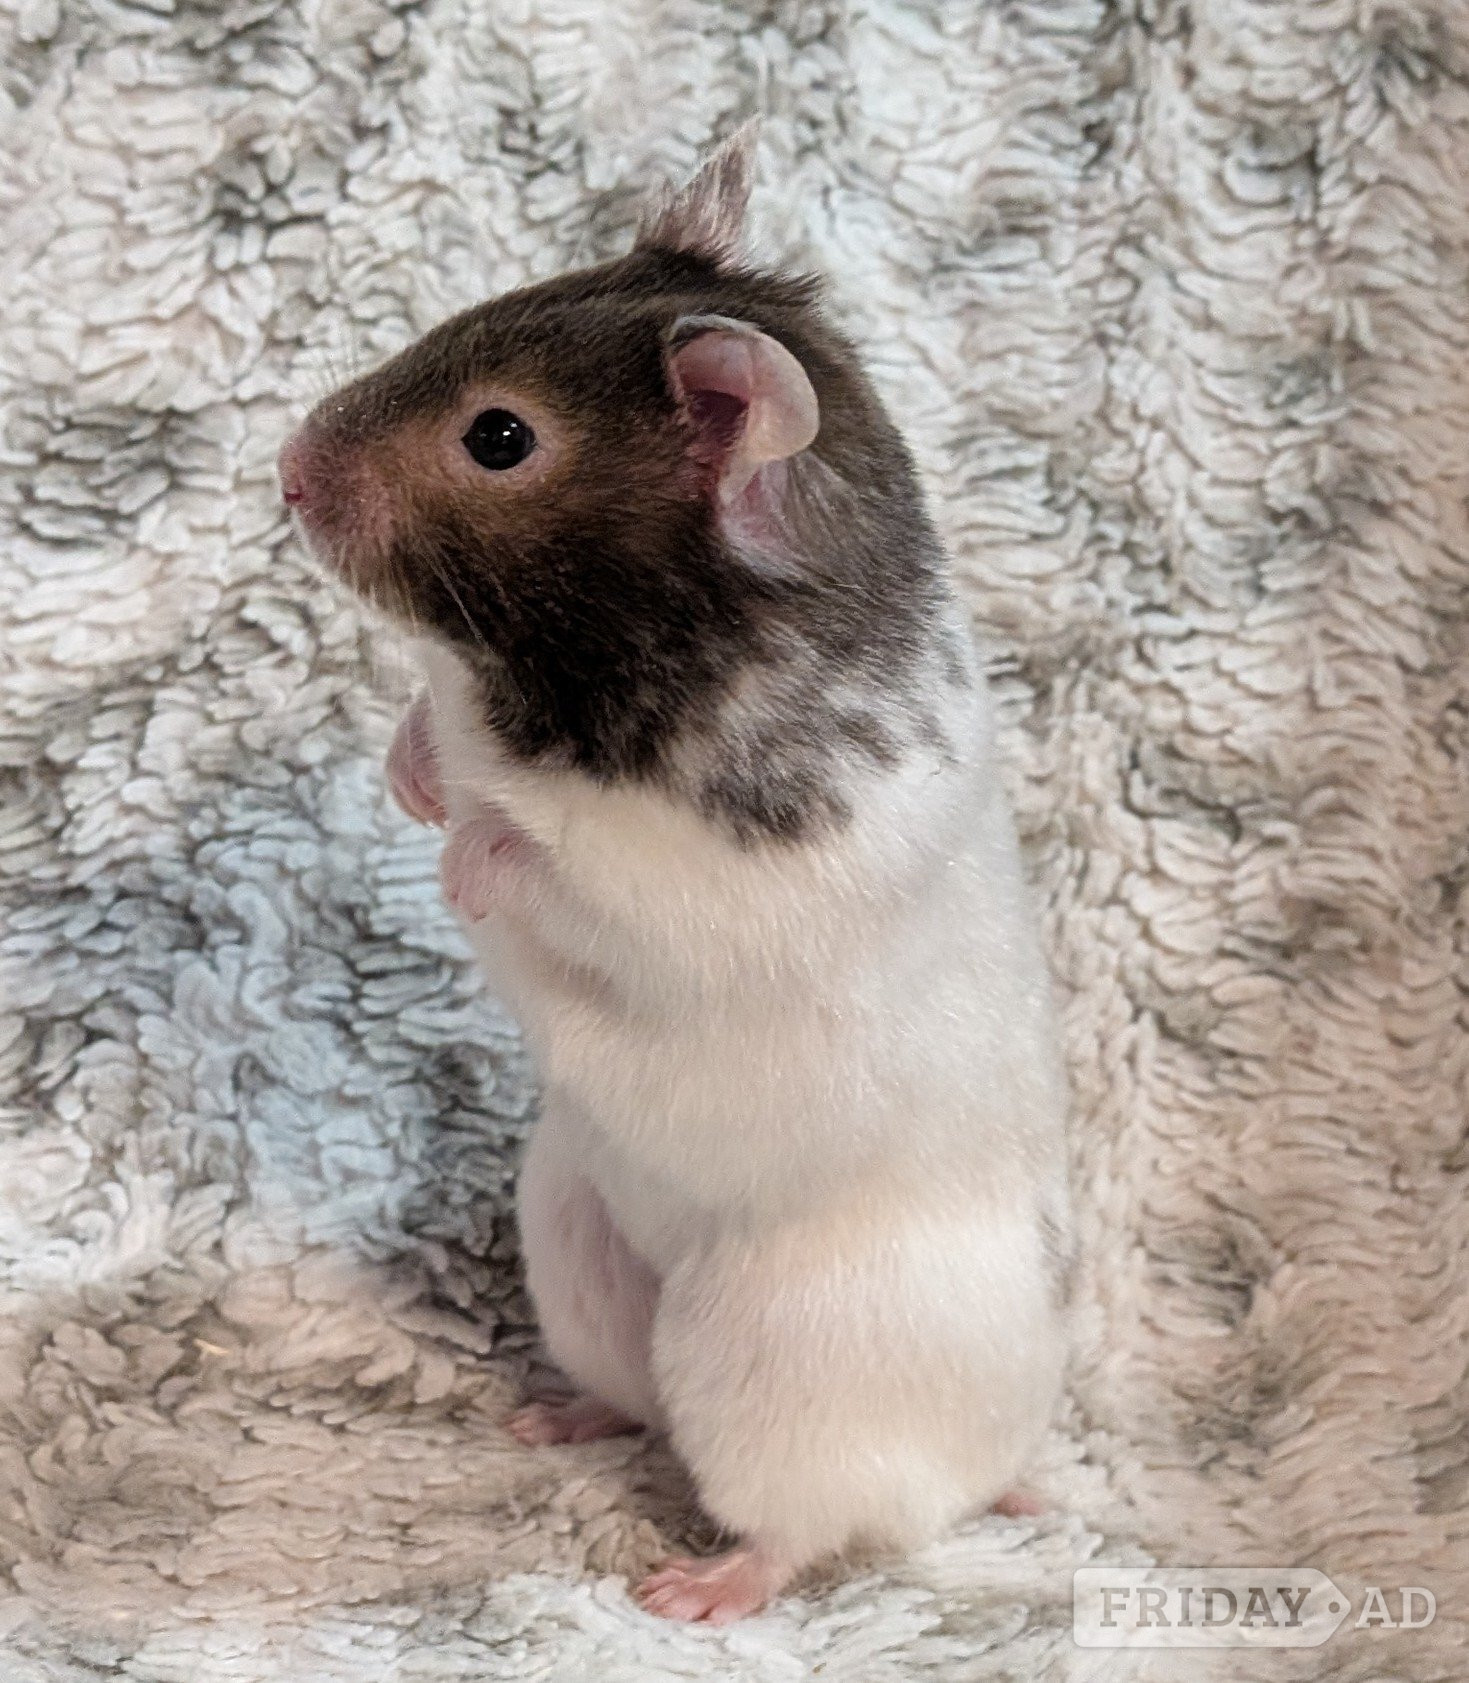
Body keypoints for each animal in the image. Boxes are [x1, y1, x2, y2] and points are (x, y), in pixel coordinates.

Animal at [280, 129, 1072, 1625]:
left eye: (498, 437)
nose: (285, 469)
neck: (552, 680)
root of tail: (997, 1450)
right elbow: (434, 741)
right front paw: (415, 771)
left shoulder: (702, 891)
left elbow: (562, 862)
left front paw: (471, 854)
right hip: (572, 1231)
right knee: (632, 1394)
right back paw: (558, 1416)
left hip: (778, 1356)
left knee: (817, 1522)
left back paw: (704, 1586)